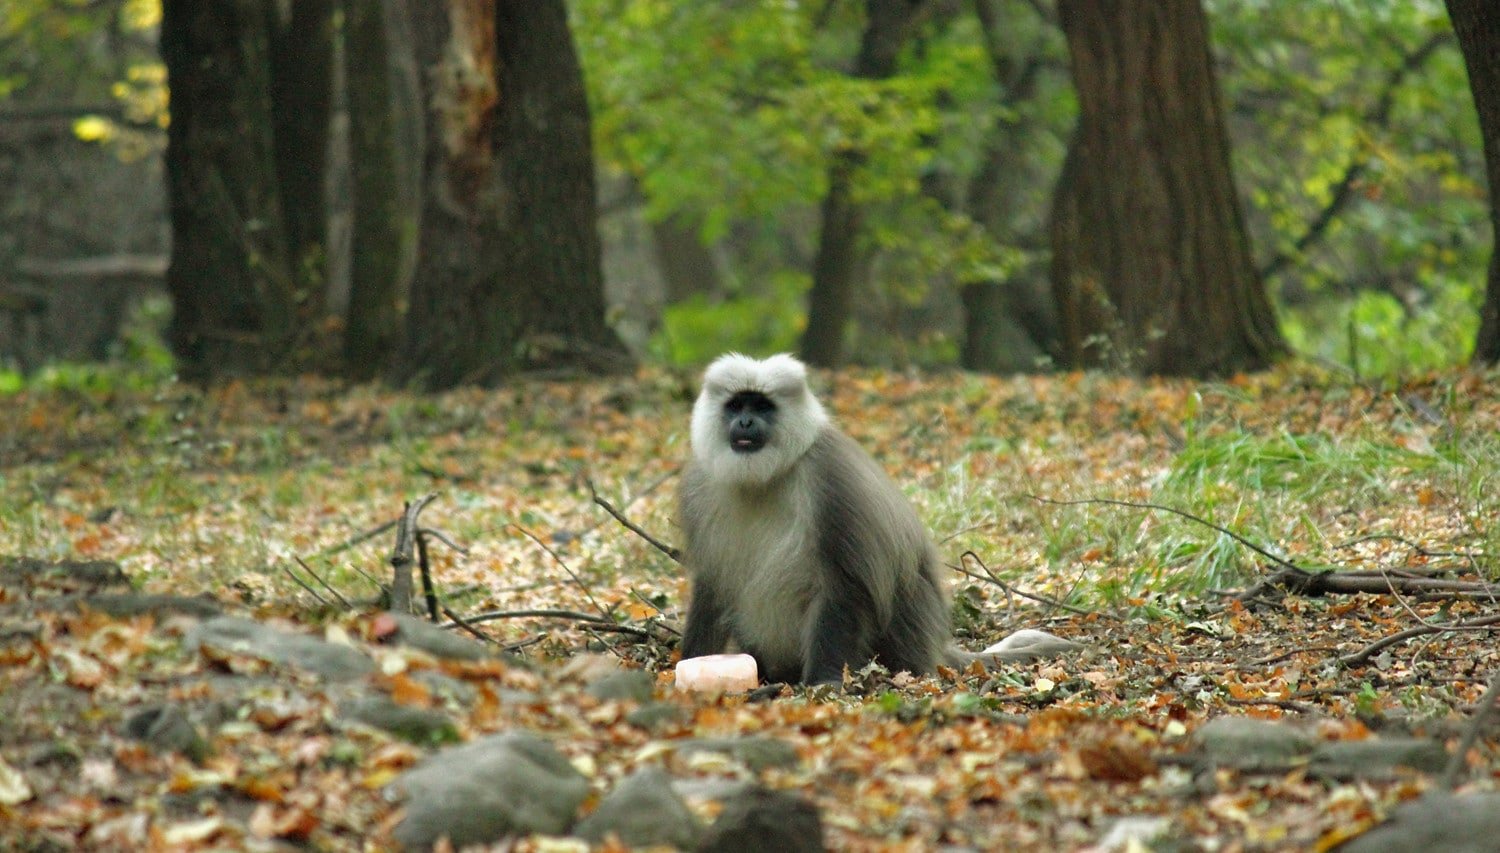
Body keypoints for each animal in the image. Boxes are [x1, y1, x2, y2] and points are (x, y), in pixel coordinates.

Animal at [676, 353, 1077, 686]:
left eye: (762, 406)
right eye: (736, 406)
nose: (745, 421)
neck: (764, 479)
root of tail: (932, 649)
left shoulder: (830, 478)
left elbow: (847, 583)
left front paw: (824, 682)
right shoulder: (700, 487)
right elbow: (712, 587)